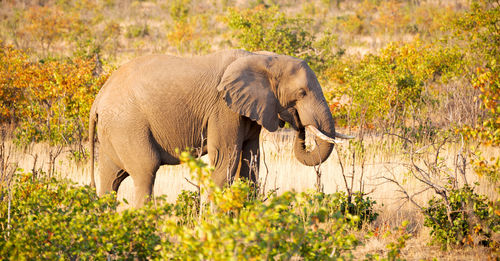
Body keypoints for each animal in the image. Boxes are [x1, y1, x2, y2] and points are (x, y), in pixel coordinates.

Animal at [90, 49, 354, 207]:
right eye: (302, 93)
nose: (299, 124)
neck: (261, 59)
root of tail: (98, 100)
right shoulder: (223, 109)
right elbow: (225, 160)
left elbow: (250, 163)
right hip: (127, 124)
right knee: (146, 170)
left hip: (114, 131)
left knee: (111, 179)